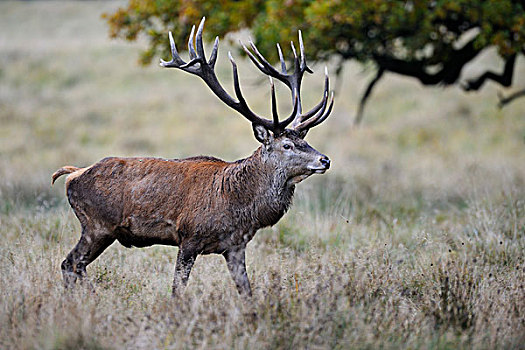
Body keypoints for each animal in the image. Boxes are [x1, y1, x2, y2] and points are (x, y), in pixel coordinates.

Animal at [52, 17, 332, 296]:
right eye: (287, 145)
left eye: (305, 140)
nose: (325, 160)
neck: (238, 203)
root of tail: (73, 174)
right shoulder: (189, 236)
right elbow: (177, 289)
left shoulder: (235, 246)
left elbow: (246, 291)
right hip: (97, 225)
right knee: (70, 263)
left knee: (73, 265)